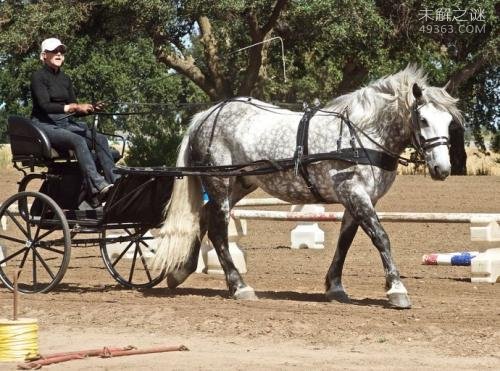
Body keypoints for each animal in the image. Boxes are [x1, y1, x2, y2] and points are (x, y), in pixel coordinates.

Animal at [152, 66, 460, 308]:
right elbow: (381, 237)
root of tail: (206, 115)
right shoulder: (354, 192)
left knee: (205, 217)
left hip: (240, 184)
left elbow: (345, 242)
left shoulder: (359, 199)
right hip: (219, 182)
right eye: (423, 120)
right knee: (218, 229)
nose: (442, 169)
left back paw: (181, 271)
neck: (362, 135)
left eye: (448, 121)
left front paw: (335, 287)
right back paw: (239, 286)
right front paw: (397, 289)